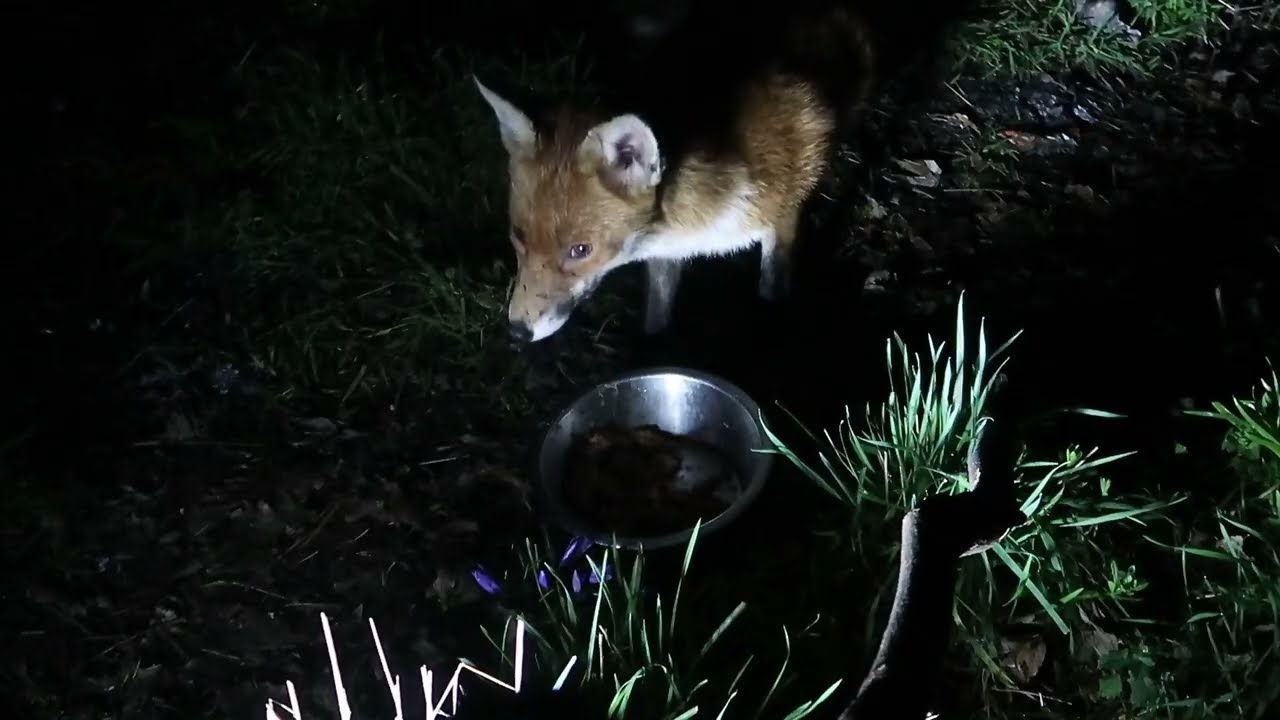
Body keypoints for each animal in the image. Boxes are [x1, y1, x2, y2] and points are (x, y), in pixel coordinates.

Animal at [475, 2, 878, 343]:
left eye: (580, 250)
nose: (518, 332)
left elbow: (771, 288)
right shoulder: (667, 254)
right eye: (519, 234)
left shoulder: (782, 219)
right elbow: (658, 315)